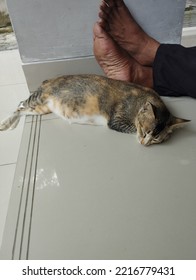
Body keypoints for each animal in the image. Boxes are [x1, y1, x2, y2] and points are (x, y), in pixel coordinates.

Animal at [0, 74, 190, 145]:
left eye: (157, 139)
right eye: (145, 131)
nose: (145, 143)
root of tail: (48, 80)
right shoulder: (116, 120)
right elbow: (130, 127)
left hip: (41, 108)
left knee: (23, 109)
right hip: (39, 98)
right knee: (20, 104)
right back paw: (5, 123)